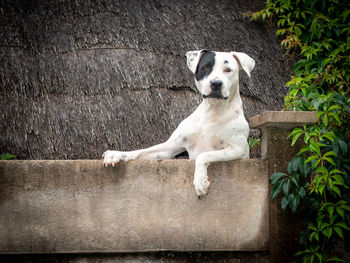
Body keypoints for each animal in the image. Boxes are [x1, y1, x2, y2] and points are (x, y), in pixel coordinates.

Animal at [102, 50, 256, 198]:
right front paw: (117, 154)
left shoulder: (238, 149)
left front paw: (200, 182)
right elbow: (140, 151)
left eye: (228, 70)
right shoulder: (170, 148)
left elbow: (204, 155)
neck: (212, 112)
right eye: (205, 68)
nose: (216, 83)